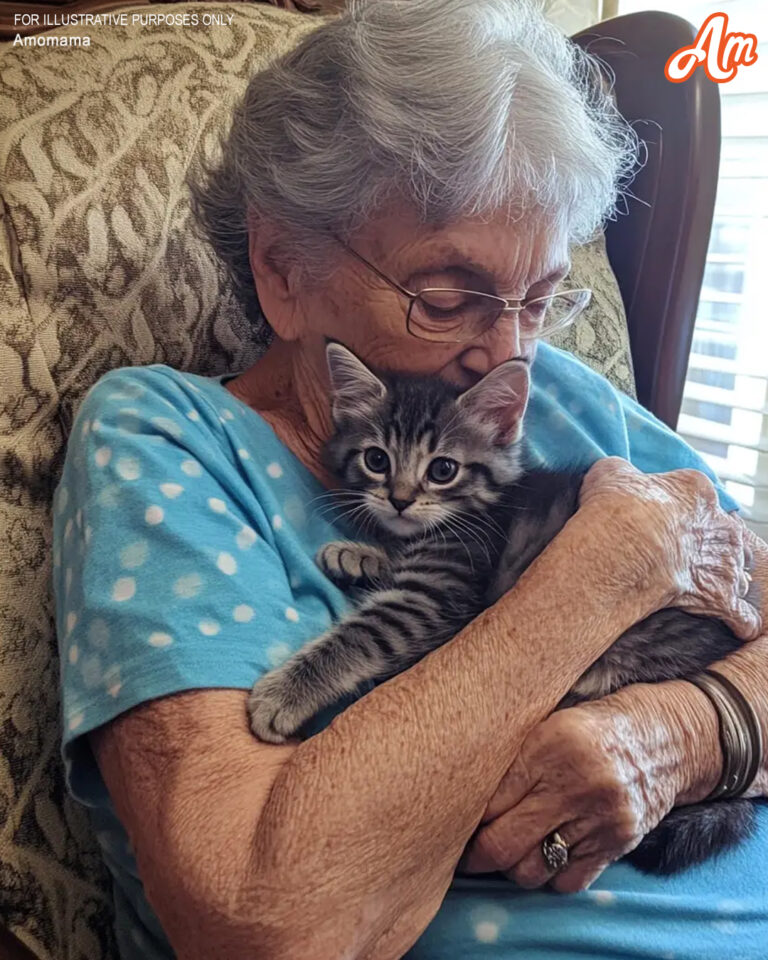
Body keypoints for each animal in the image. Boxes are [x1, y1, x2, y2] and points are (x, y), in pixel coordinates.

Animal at [248, 342, 756, 872]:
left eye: (443, 470)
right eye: (376, 459)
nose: (400, 500)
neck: (471, 512)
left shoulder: (434, 596)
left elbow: (361, 634)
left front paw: (284, 693)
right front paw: (358, 554)